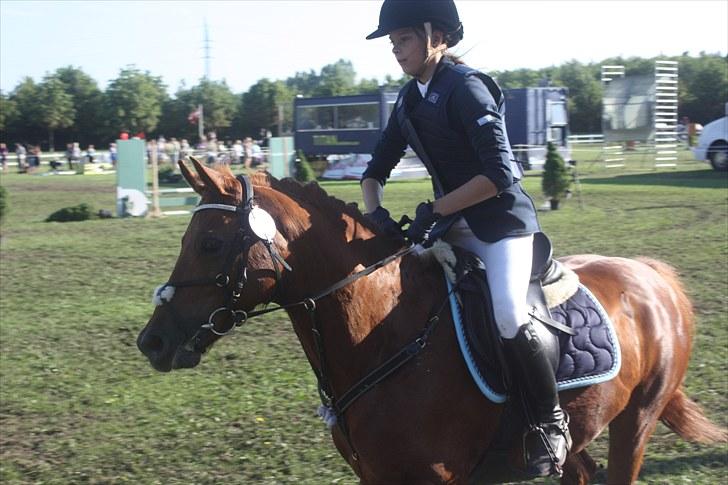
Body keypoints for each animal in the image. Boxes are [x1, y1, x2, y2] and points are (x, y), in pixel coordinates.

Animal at [137, 158, 726, 484]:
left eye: (210, 244)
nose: (152, 342)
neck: (382, 336)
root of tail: (653, 274)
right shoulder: (376, 477)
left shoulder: (437, 476)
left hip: (637, 421)